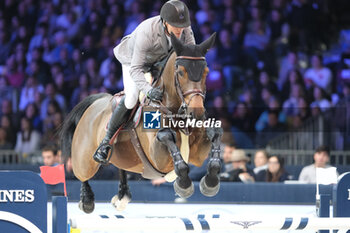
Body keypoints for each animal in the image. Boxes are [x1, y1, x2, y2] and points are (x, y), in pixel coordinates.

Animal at [59, 32, 221, 213]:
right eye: (180, 72)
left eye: (206, 72)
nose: (196, 113)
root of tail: (95, 102)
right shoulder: (158, 158)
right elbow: (167, 137)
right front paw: (184, 185)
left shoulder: (197, 155)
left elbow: (214, 135)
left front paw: (210, 183)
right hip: (84, 159)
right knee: (82, 174)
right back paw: (87, 199)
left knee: (120, 167)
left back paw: (122, 196)